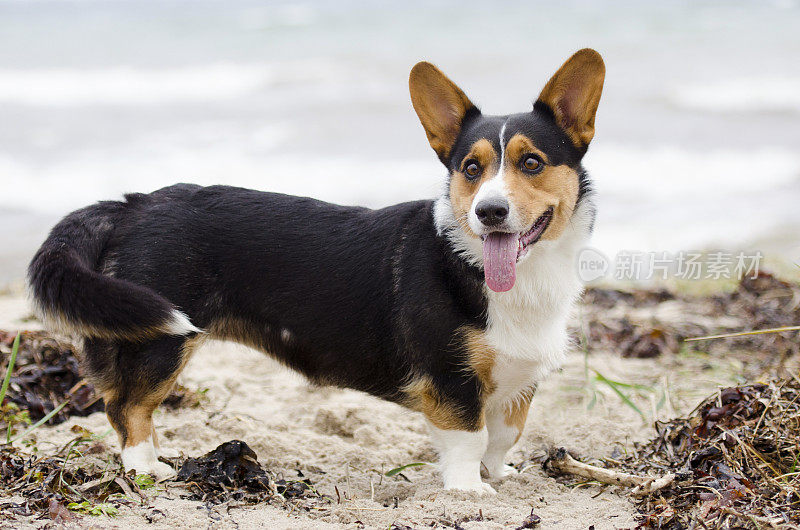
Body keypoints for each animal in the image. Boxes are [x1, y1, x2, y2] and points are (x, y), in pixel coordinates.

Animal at [29, 48, 608, 490]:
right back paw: (149, 471)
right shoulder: (451, 379)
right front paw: (470, 493)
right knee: (126, 408)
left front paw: (500, 478)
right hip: (161, 341)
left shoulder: (517, 384)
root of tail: (133, 203)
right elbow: (469, 440)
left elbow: (504, 437)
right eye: (471, 169)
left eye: (531, 162)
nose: (489, 212)